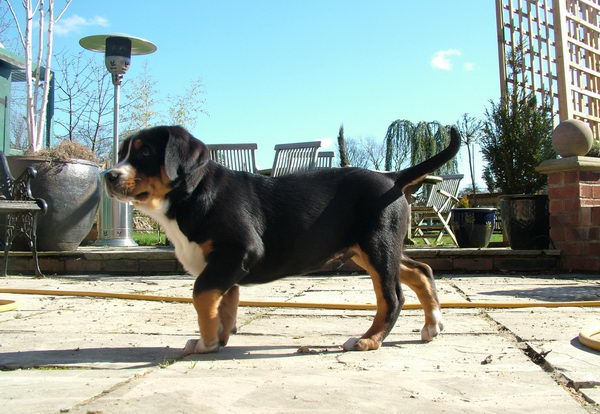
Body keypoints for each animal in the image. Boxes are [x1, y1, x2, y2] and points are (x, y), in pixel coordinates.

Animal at [104, 124, 460, 354]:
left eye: (145, 152)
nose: (108, 175)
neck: (191, 194)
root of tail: (391, 178)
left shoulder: (237, 252)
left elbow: (202, 294)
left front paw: (205, 341)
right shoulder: (226, 266)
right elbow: (225, 301)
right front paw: (218, 339)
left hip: (377, 247)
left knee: (392, 297)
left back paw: (369, 340)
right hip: (373, 249)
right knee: (421, 271)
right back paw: (433, 325)